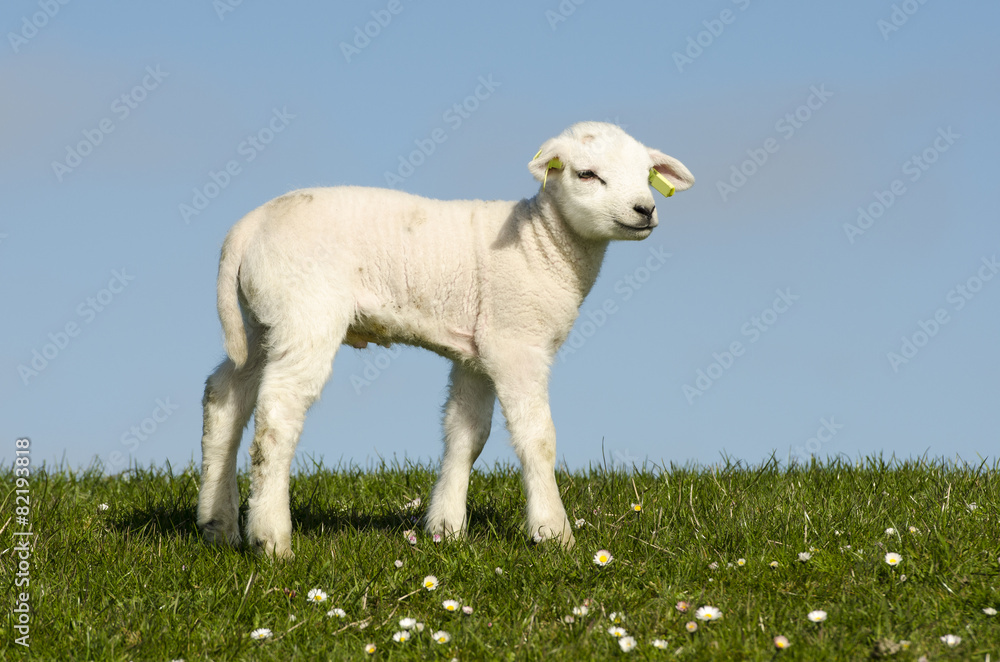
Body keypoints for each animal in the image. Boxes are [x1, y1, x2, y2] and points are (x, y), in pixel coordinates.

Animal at [196, 121, 694, 558]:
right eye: (586, 174)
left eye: (646, 175)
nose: (645, 210)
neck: (543, 243)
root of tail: (246, 228)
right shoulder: (516, 343)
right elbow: (537, 437)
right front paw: (553, 532)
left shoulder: (477, 351)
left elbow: (466, 434)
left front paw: (446, 528)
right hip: (305, 313)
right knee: (277, 414)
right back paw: (272, 539)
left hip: (260, 321)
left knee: (225, 395)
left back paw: (217, 525)